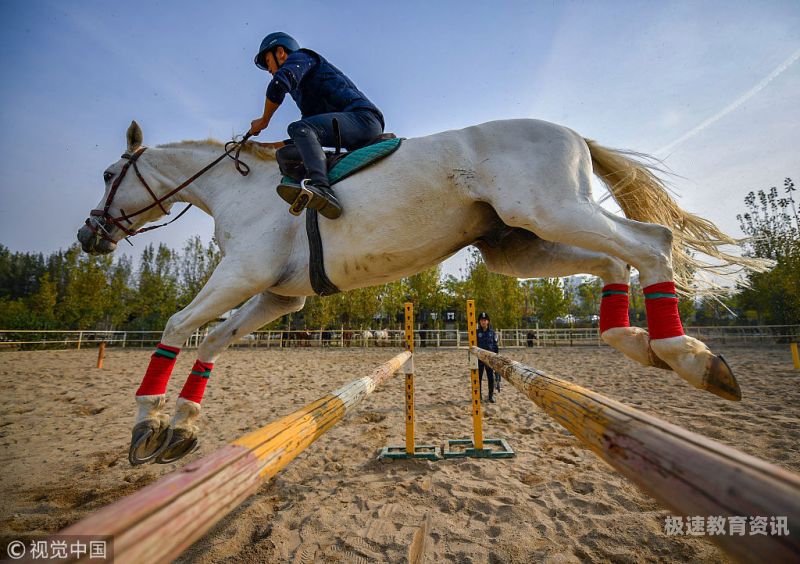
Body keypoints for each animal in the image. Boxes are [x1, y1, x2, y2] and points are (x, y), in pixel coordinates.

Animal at [78, 118, 764, 462]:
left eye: (110, 173)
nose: (89, 236)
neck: (236, 187)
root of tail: (573, 134)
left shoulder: (241, 276)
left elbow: (175, 327)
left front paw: (146, 427)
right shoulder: (276, 295)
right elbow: (212, 341)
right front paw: (181, 430)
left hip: (549, 213)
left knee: (649, 243)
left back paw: (688, 357)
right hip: (520, 245)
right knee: (616, 261)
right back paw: (639, 341)